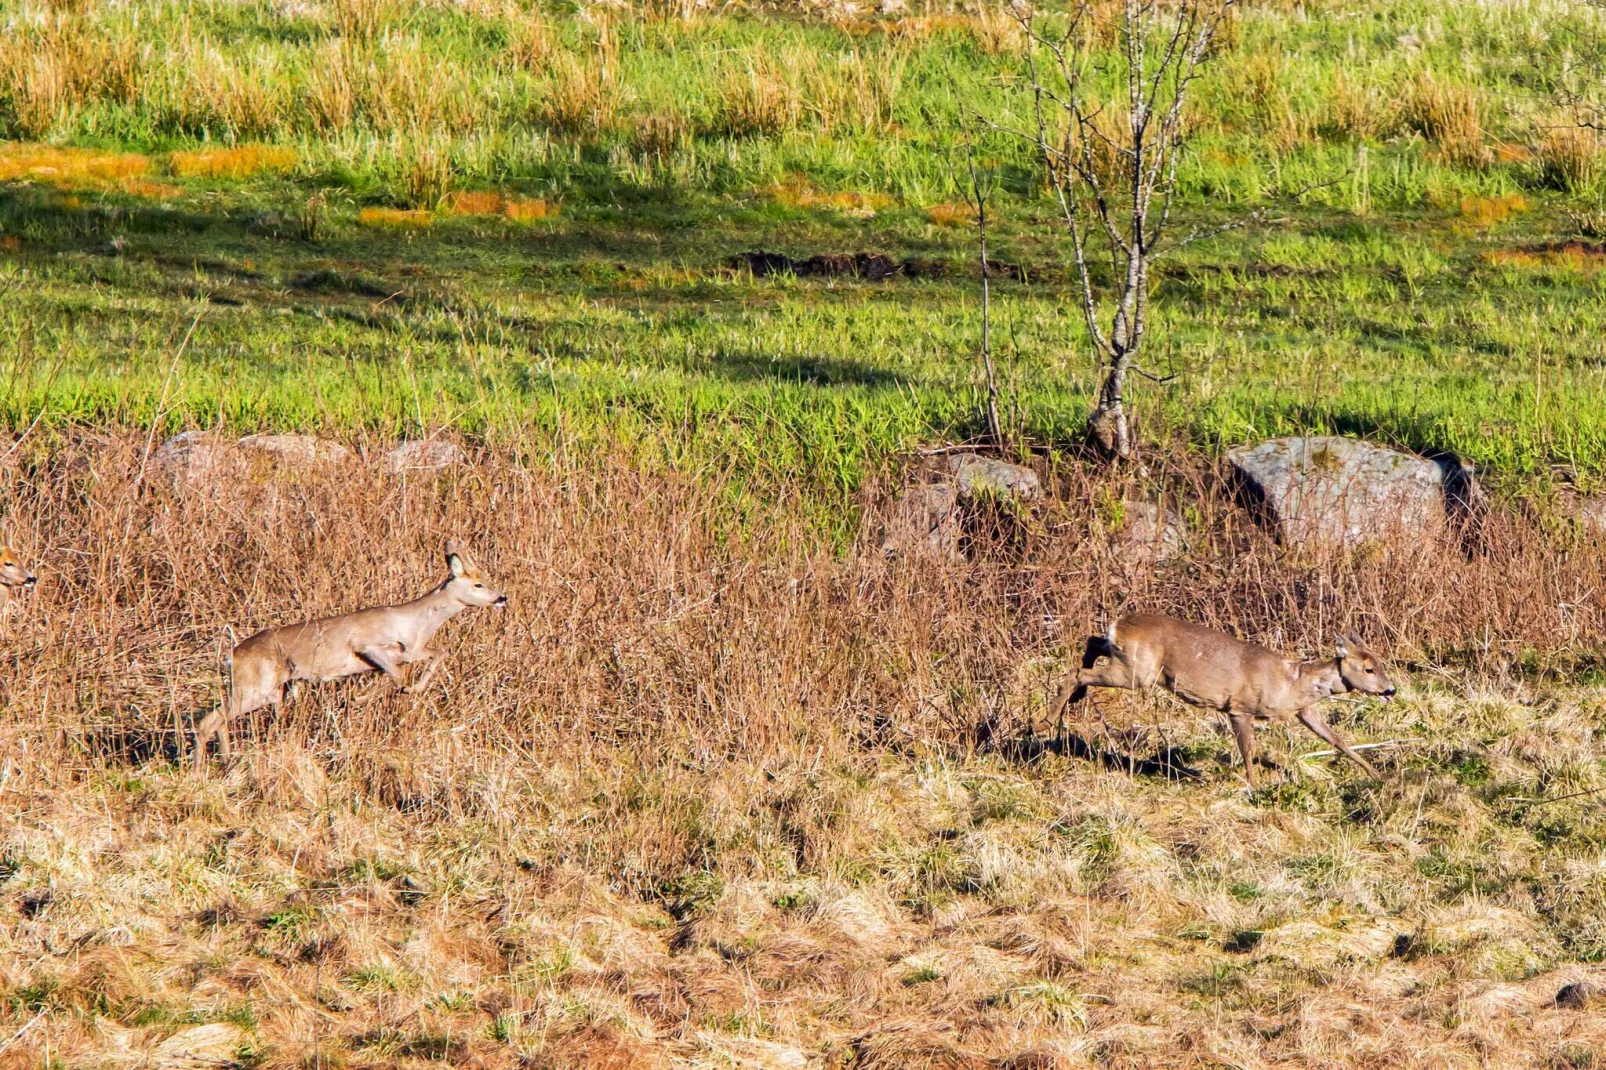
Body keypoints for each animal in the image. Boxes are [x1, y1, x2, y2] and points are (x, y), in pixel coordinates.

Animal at [195, 543, 507, 767]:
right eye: (478, 584)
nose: (501, 597)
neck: (414, 624)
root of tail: (233, 655)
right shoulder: (366, 644)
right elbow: (398, 675)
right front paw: (360, 698)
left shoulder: (408, 653)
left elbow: (435, 655)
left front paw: (404, 690)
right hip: (255, 686)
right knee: (209, 719)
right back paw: (202, 770)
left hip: (267, 691)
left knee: (218, 718)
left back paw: (225, 760)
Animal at [1047, 607, 1400, 784]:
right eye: (1369, 669)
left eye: (1380, 664)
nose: (1390, 689)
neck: (1290, 683)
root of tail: (1117, 624)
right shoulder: (1240, 707)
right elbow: (1247, 749)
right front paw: (1255, 786)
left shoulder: (1304, 710)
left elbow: (1337, 740)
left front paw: (1376, 774)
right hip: (1139, 672)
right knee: (1076, 671)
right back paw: (1045, 722)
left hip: (1128, 663)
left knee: (1092, 643)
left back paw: (1071, 703)